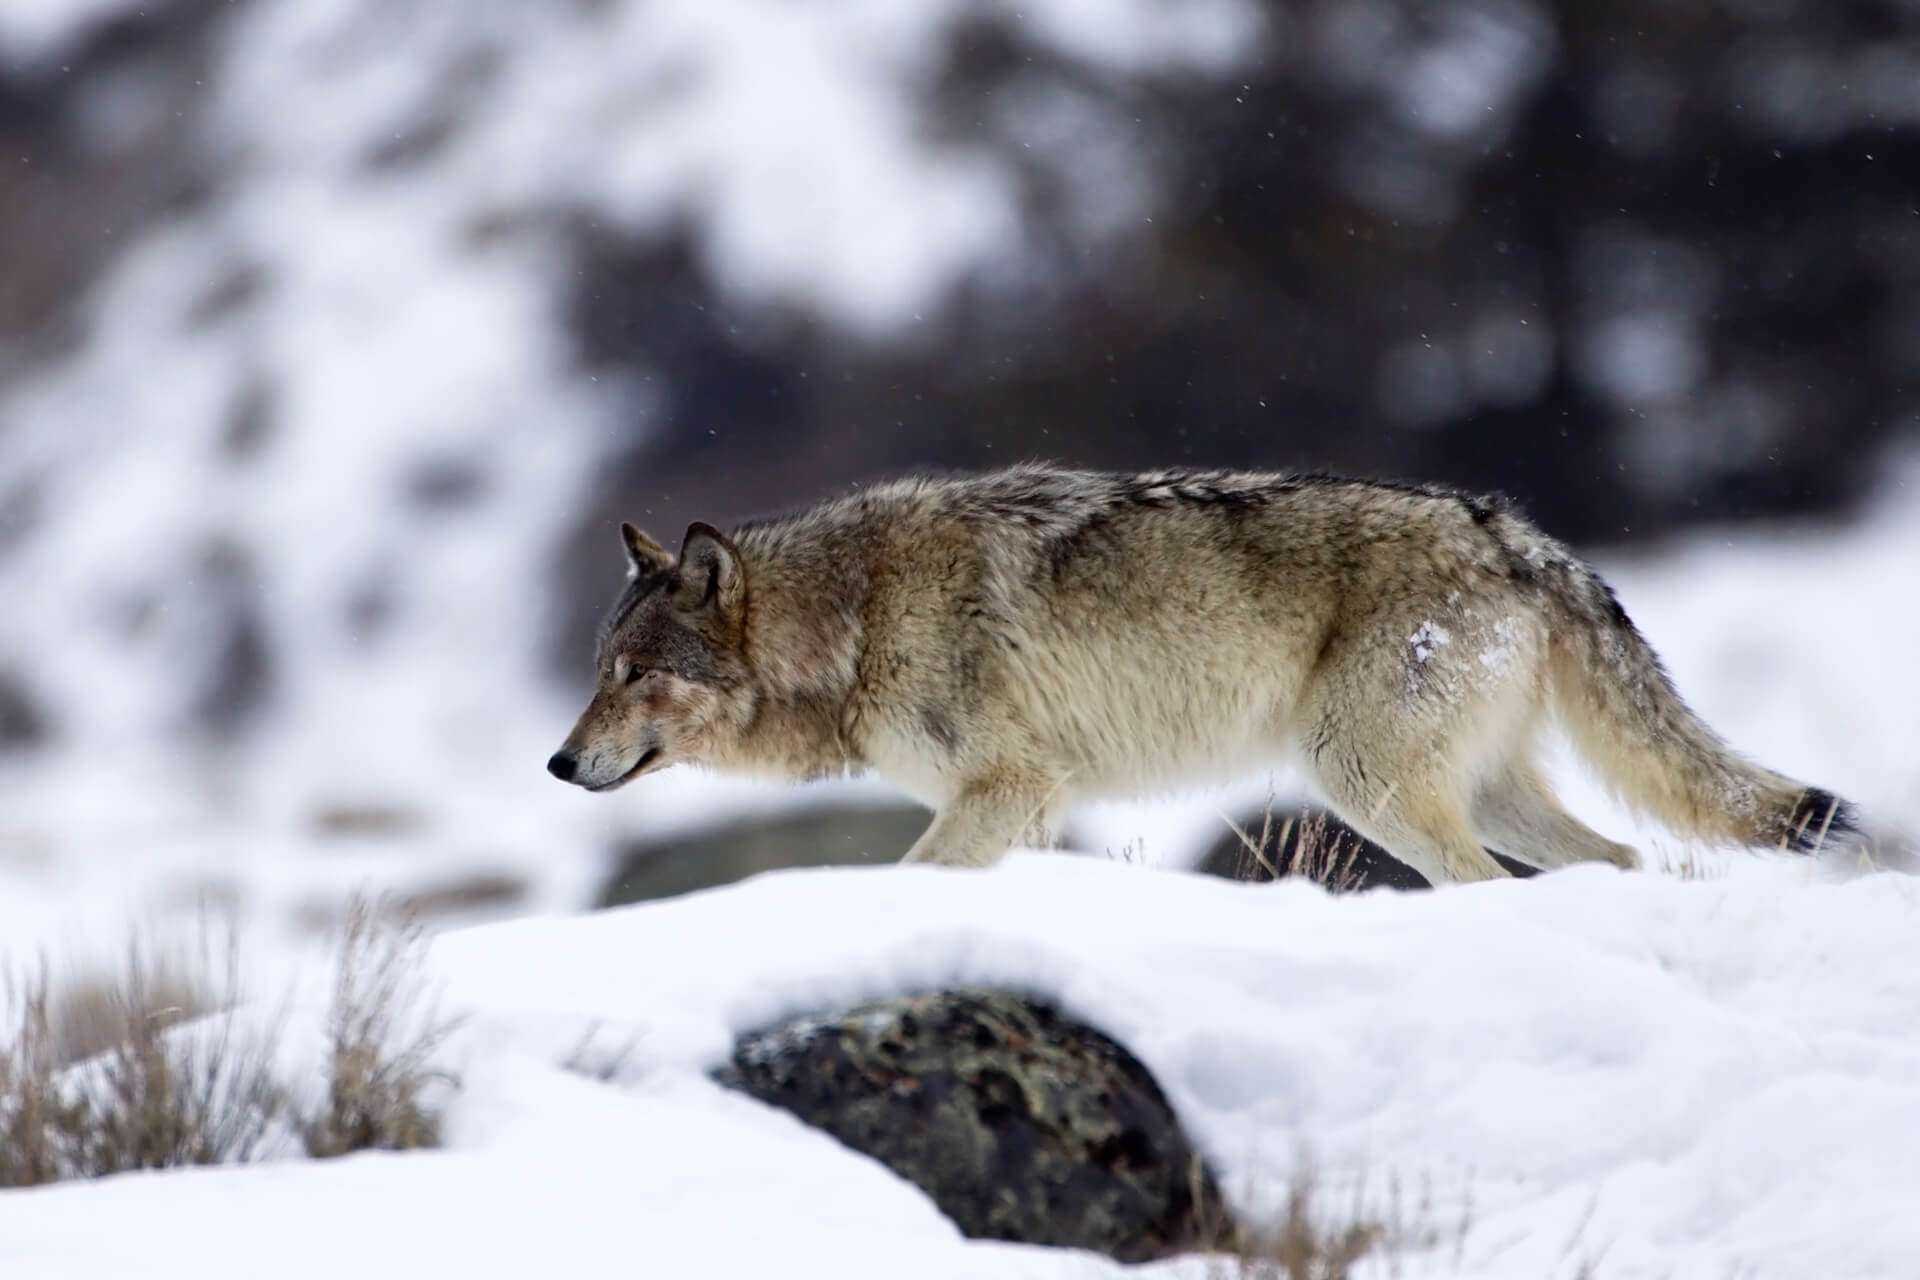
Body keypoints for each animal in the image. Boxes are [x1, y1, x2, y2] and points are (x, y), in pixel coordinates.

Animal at [545, 466, 1858, 886]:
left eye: (633, 671)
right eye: (596, 669)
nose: (558, 761)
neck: (856, 617)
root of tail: (1517, 533)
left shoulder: (1008, 789)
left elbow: (906, 876)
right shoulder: (1032, 809)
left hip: (1367, 782)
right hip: (1476, 789)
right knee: (1624, 857)